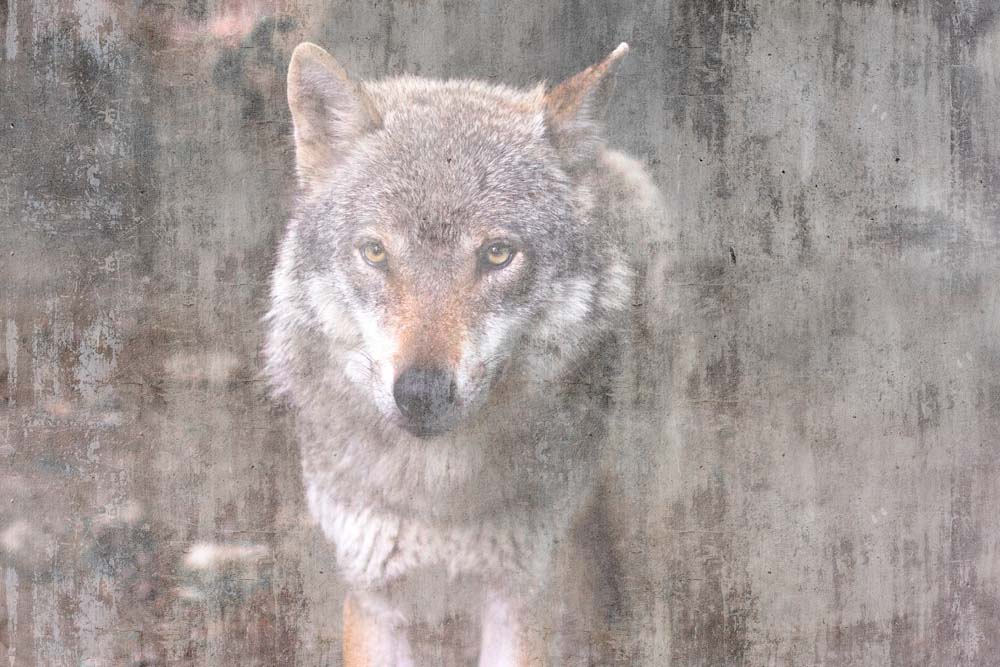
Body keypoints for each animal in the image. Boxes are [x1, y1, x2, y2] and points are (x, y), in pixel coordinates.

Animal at [264, 40, 663, 666]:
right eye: (375, 252)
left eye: (498, 254)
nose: (421, 392)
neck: (437, 496)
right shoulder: (373, 594)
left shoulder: (520, 596)